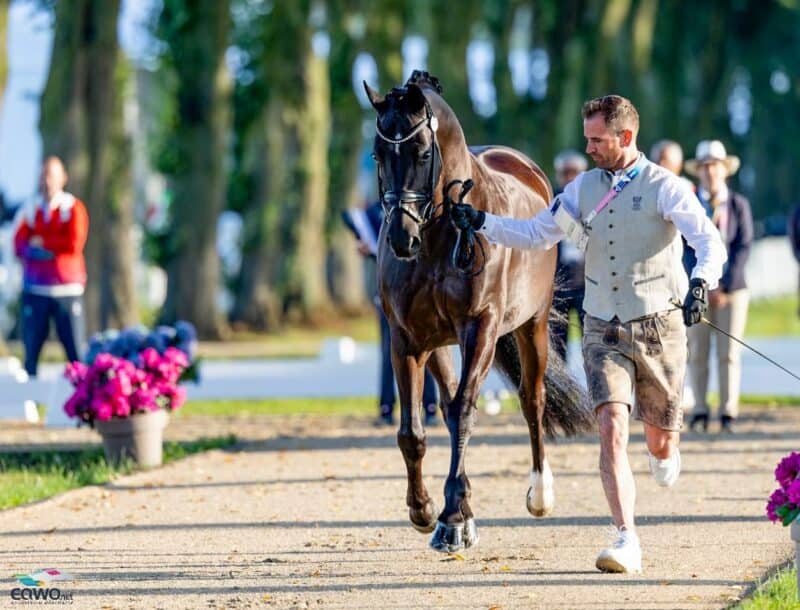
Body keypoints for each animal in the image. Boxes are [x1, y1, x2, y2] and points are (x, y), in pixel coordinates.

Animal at [364, 71, 592, 552]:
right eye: (378, 153)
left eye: (423, 152)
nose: (401, 238)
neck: (439, 237)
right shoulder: (407, 339)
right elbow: (413, 430)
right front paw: (425, 510)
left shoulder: (481, 329)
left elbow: (464, 411)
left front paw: (451, 518)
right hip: (439, 346)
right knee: (448, 402)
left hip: (531, 327)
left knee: (531, 399)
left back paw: (539, 494)